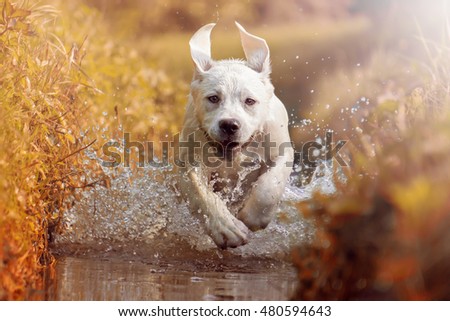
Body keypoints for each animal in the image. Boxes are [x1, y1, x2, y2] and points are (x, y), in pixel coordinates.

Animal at [178, 21, 294, 248]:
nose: (229, 125)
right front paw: (226, 228)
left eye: (250, 101)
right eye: (213, 98)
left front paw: (253, 217)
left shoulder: (282, 151)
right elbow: (201, 193)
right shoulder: (187, 164)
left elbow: (269, 186)